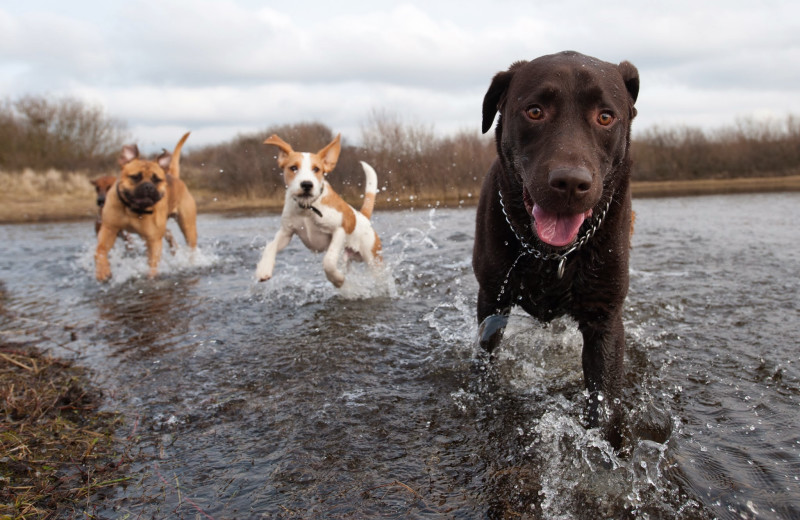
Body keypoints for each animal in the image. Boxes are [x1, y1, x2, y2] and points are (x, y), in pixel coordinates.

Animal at [94, 132, 198, 282]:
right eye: (135, 177)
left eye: (157, 180)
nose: (148, 186)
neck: (133, 209)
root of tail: (172, 175)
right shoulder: (109, 229)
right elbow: (100, 251)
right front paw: (102, 271)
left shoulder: (154, 240)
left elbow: (152, 264)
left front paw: (151, 278)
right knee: (169, 234)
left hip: (188, 227)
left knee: (191, 246)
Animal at [256, 133, 382, 288]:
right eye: (293, 168)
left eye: (316, 169)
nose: (306, 184)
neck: (307, 207)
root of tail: (362, 216)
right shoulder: (286, 232)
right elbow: (270, 246)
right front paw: (263, 269)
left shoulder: (339, 230)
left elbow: (328, 261)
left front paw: (337, 279)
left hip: (374, 260)